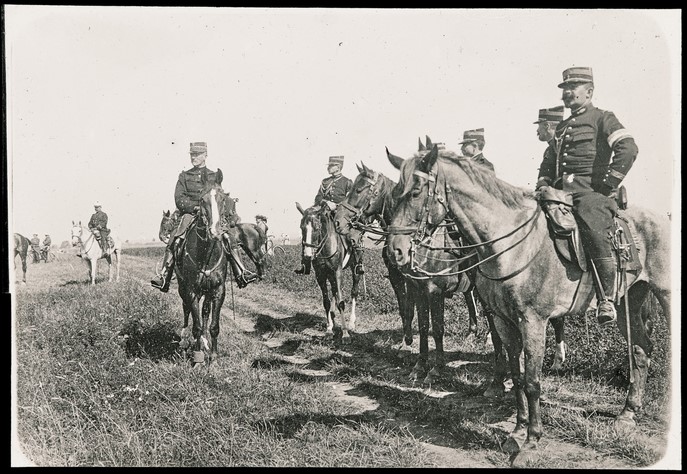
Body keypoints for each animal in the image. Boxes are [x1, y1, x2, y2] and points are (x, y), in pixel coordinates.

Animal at [173, 183, 232, 364]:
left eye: (223, 199)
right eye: (202, 200)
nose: (215, 231)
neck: (206, 255)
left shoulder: (218, 290)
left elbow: (213, 325)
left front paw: (213, 356)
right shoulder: (191, 290)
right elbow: (196, 325)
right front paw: (198, 357)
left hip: (206, 291)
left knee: (204, 311)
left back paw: (205, 341)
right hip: (183, 287)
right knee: (186, 309)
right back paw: (185, 338)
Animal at [296, 201, 362, 344]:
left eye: (316, 228)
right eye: (301, 227)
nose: (308, 255)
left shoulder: (337, 272)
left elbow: (341, 302)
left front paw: (345, 334)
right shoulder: (320, 275)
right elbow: (326, 301)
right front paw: (329, 330)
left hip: (355, 268)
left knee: (354, 291)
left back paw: (351, 323)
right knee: (333, 292)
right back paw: (332, 320)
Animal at [388, 144, 672, 466]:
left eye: (415, 192)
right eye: (395, 192)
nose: (395, 251)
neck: (508, 245)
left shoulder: (533, 321)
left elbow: (533, 381)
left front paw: (532, 442)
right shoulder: (503, 320)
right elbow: (517, 376)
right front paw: (517, 432)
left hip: (665, 294)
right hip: (629, 300)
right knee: (641, 350)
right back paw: (627, 414)